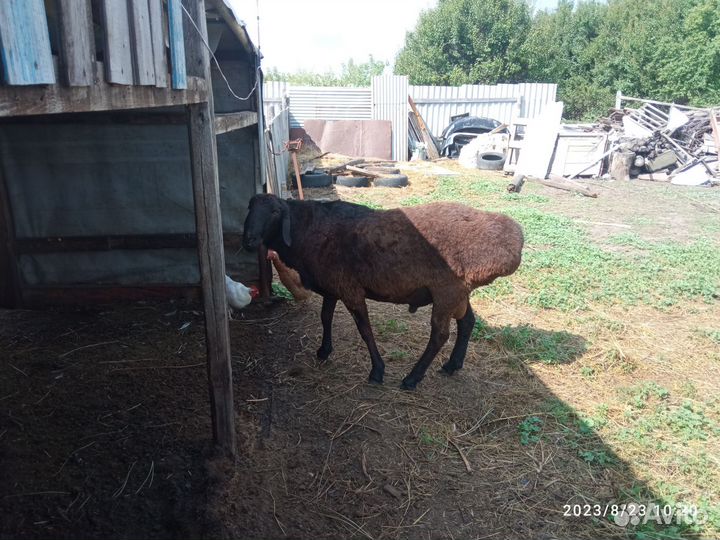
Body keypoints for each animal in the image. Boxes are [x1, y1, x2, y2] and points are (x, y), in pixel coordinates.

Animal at [242, 194, 524, 390]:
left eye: (275, 212)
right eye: (249, 208)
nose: (248, 241)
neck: (308, 230)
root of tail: (514, 241)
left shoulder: (350, 289)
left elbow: (365, 330)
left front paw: (377, 371)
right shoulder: (333, 285)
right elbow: (325, 318)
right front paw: (323, 351)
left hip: (446, 291)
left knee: (440, 335)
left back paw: (412, 378)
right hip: (459, 292)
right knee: (467, 322)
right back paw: (452, 365)